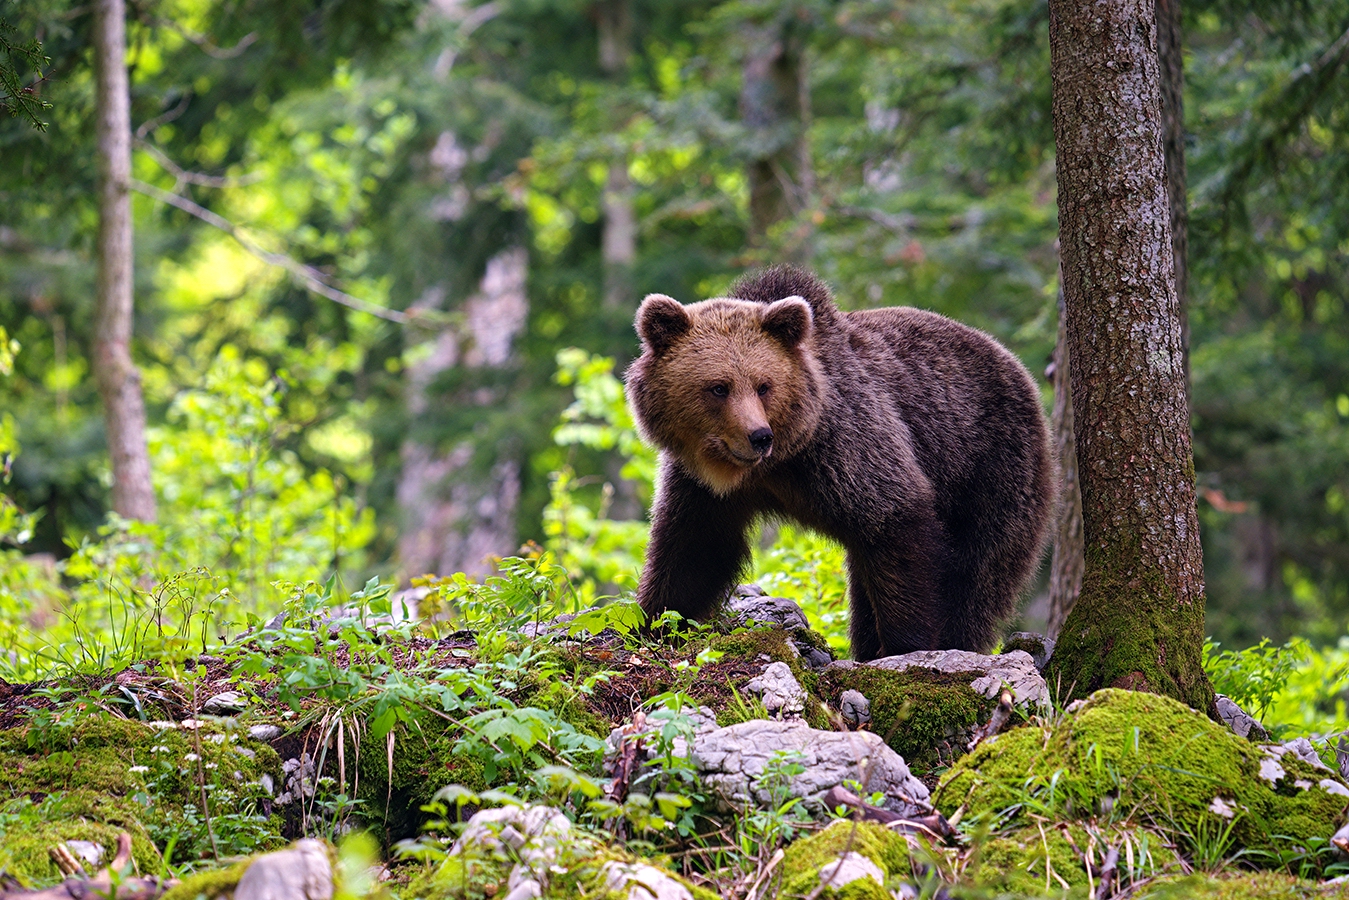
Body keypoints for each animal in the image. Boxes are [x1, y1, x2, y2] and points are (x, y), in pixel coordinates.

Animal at [624, 265, 1056, 661]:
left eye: (764, 385)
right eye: (719, 387)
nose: (759, 436)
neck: (775, 465)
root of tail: (1015, 364)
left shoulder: (846, 447)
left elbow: (897, 523)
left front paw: (905, 645)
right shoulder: (703, 485)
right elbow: (695, 549)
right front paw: (653, 624)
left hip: (991, 464)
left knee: (978, 570)